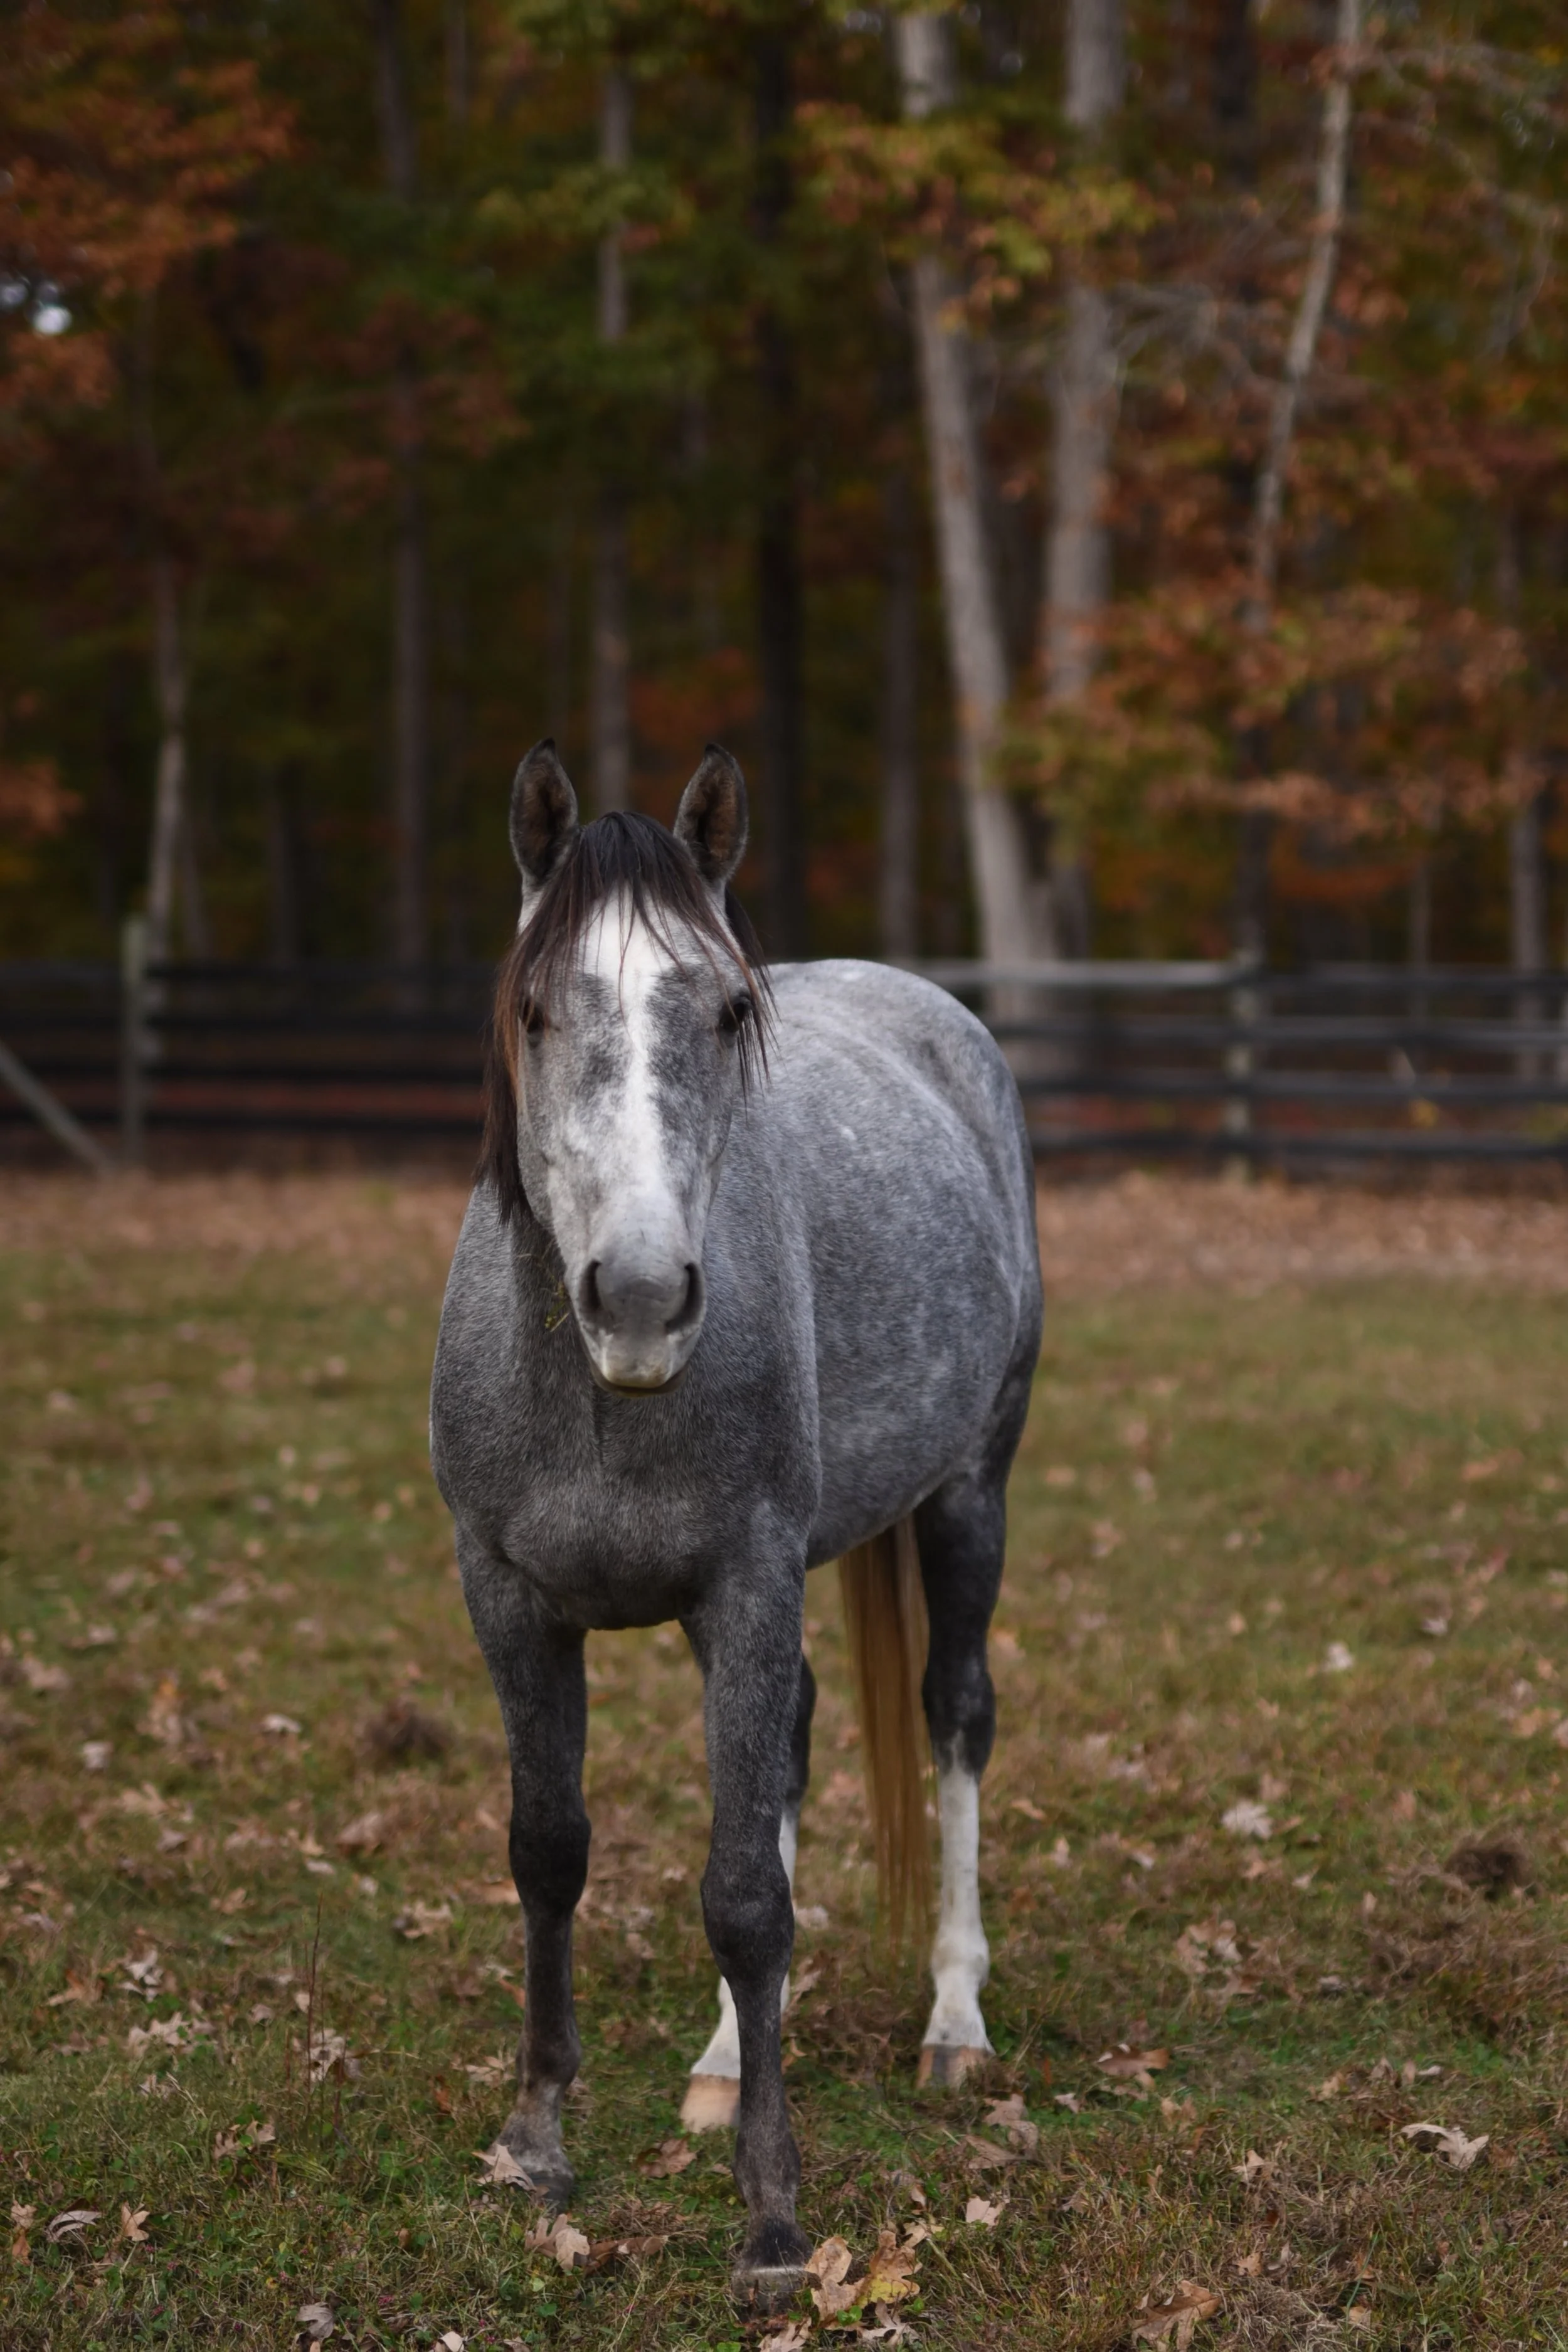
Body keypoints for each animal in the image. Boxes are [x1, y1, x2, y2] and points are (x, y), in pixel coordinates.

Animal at [429, 739, 1042, 2306]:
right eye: (535, 1009)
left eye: (723, 1009)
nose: (641, 1298)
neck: (601, 1402)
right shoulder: (507, 1598)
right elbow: (551, 1851)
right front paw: (535, 2141)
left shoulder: (750, 1584)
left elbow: (745, 1899)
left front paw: (769, 2222)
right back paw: (718, 2058)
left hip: (969, 1496)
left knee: (957, 1718)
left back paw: (954, 2024)